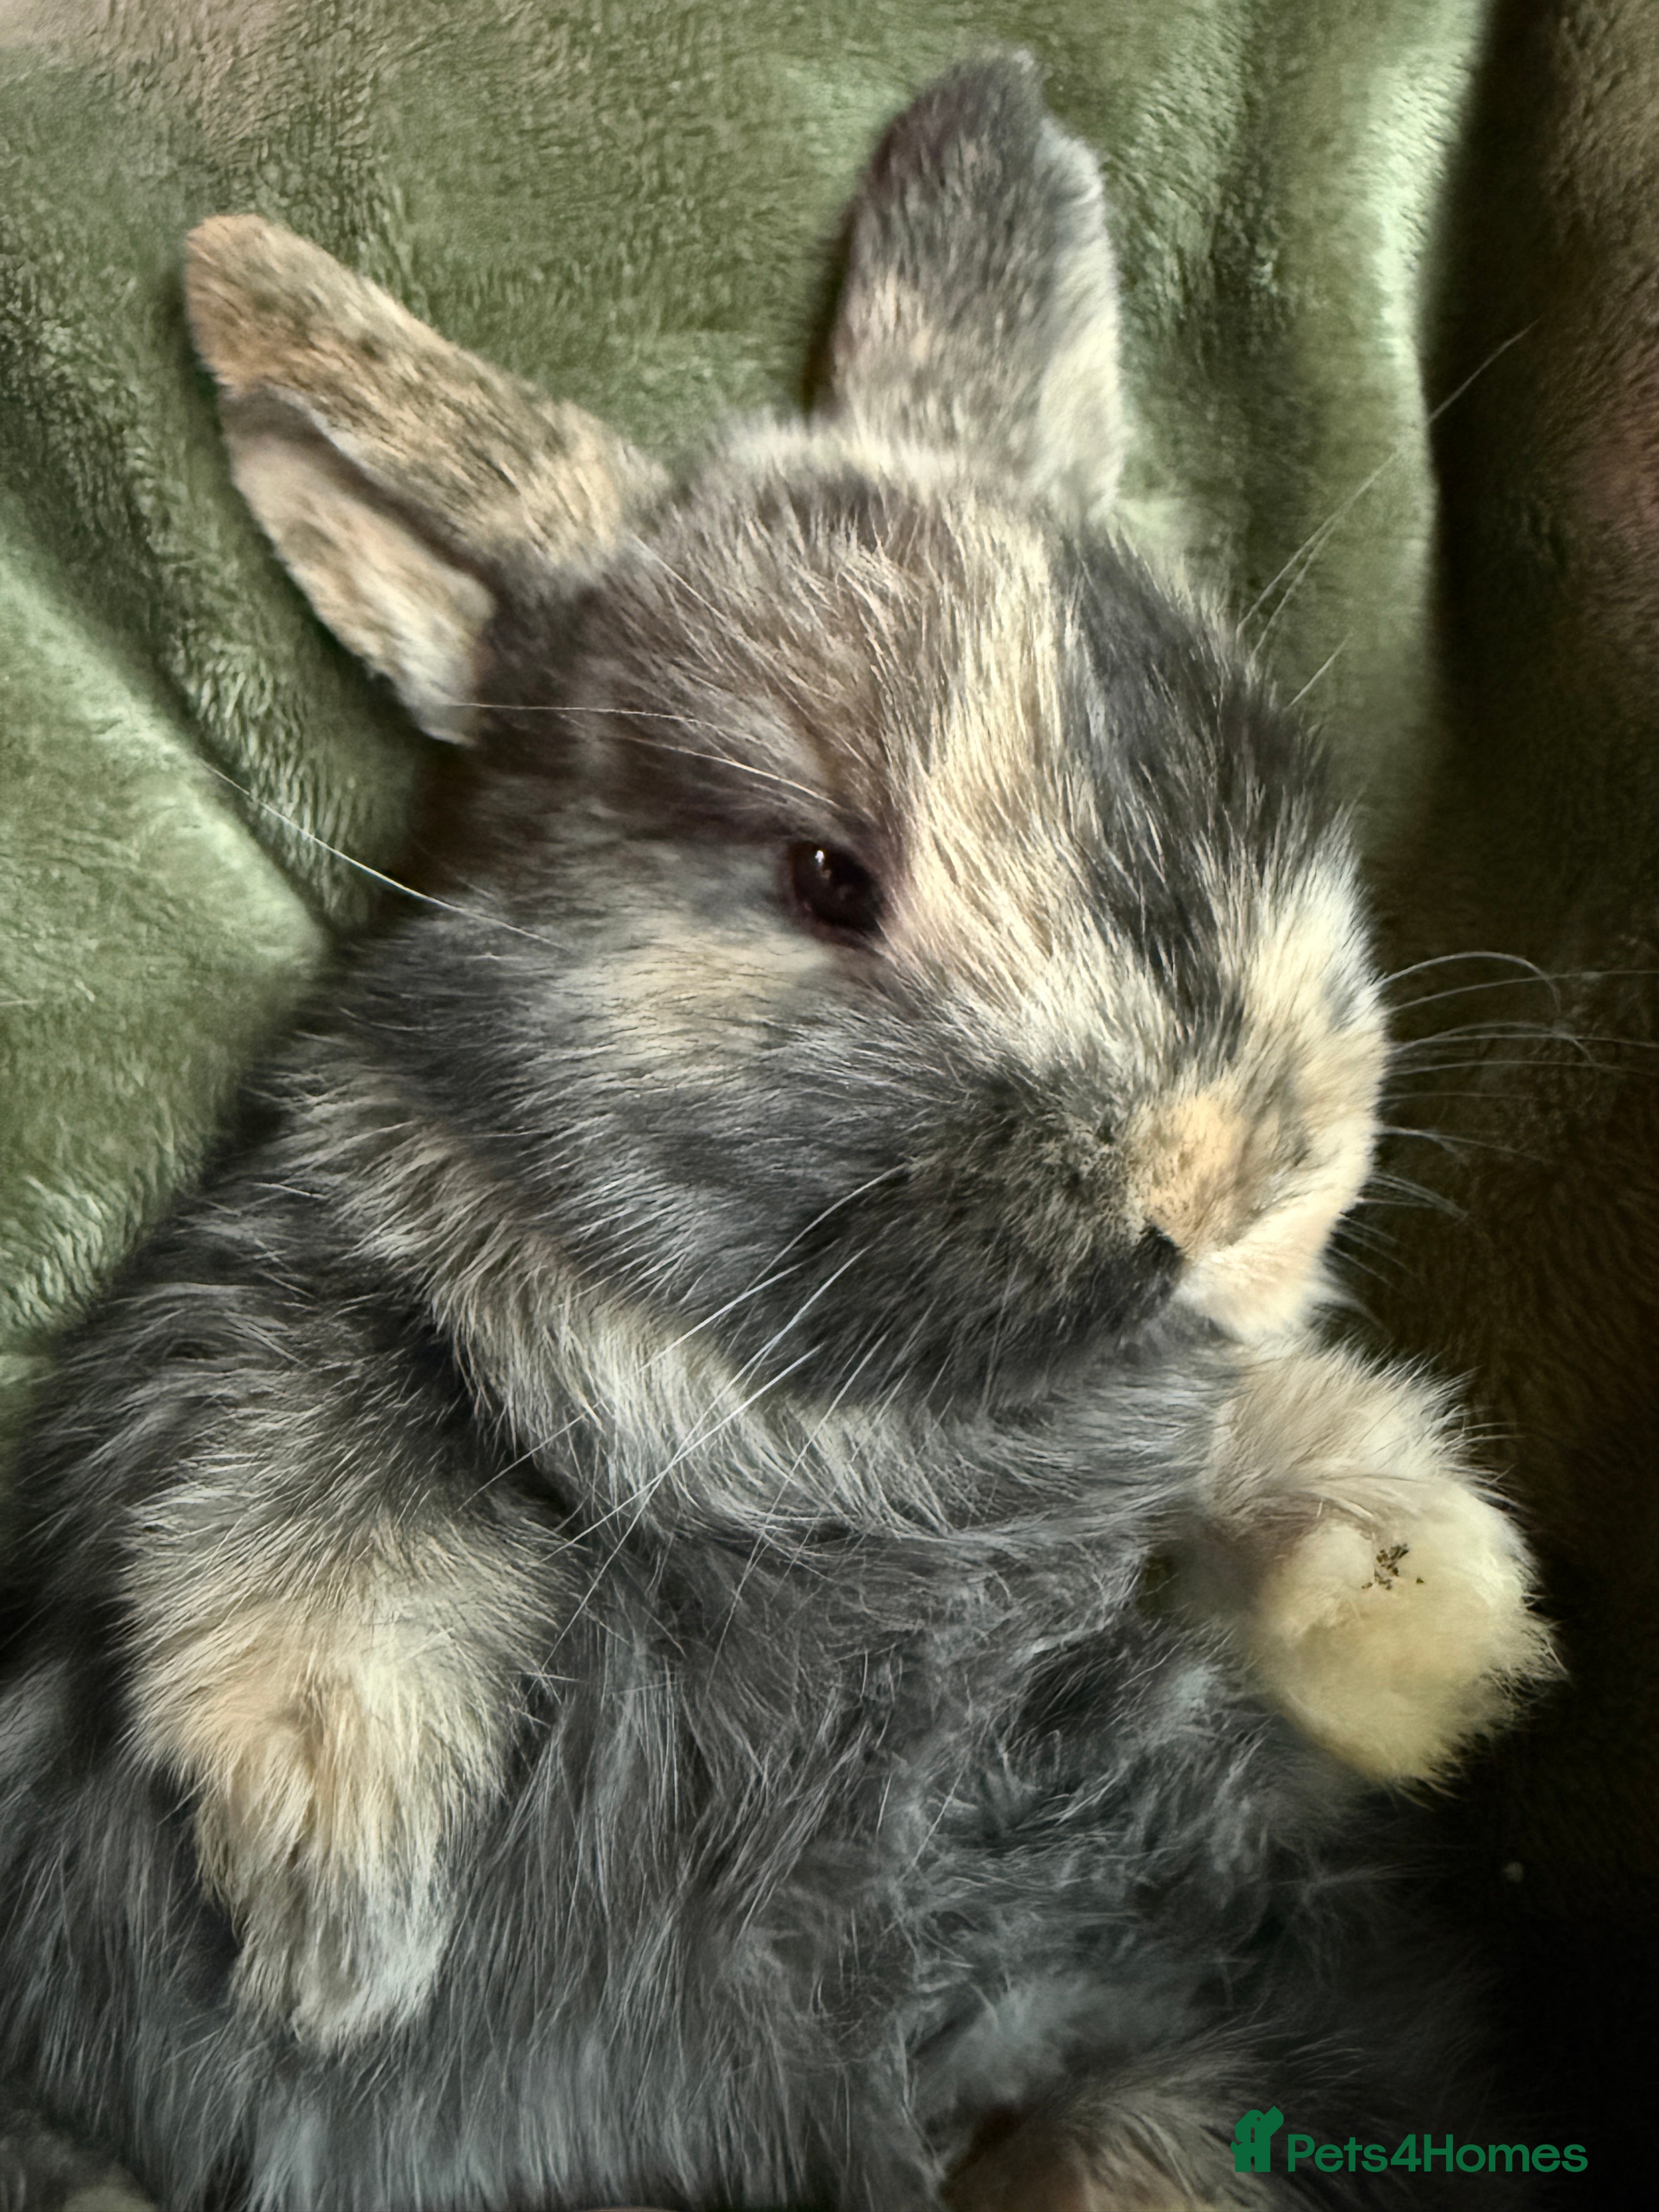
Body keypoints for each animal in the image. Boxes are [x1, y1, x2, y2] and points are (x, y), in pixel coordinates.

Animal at [0, 53, 1553, 2212]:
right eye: (825, 875)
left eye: (1264, 771)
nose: (1233, 1186)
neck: (808, 1397)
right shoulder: (280, 1303)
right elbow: (304, 1506)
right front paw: (333, 1932)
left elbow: (1275, 1492)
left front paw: (1434, 1609)